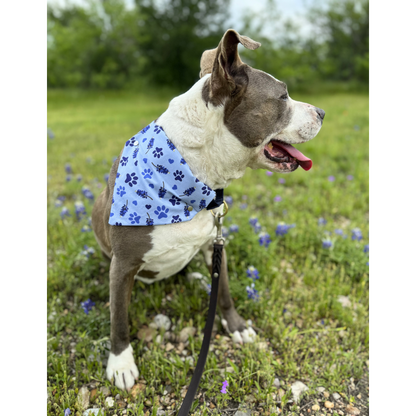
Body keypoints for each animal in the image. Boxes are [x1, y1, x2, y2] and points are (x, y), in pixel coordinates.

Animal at [91, 28, 324, 390]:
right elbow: (119, 318)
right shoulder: (123, 264)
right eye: (283, 96)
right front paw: (120, 363)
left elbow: (224, 290)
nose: (322, 113)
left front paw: (236, 326)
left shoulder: (216, 241)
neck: (190, 176)